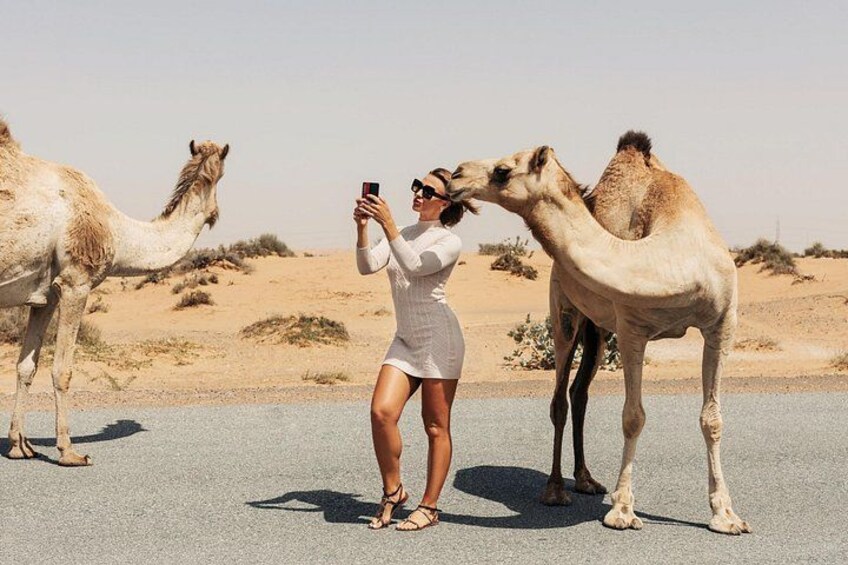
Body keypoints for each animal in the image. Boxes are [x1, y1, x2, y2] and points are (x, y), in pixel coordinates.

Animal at [0, 117, 228, 466]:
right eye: (220, 175)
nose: (214, 214)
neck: (117, 231)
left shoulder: (44, 296)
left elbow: (26, 367)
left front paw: (19, 446)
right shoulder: (76, 282)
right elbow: (62, 370)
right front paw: (69, 451)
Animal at [447, 132, 751, 535]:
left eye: (503, 170)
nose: (454, 174)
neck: (677, 260)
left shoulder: (721, 325)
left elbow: (712, 419)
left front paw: (726, 515)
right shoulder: (632, 329)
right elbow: (633, 417)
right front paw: (622, 511)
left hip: (599, 333)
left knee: (579, 392)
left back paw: (587, 479)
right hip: (565, 313)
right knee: (559, 399)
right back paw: (556, 490)